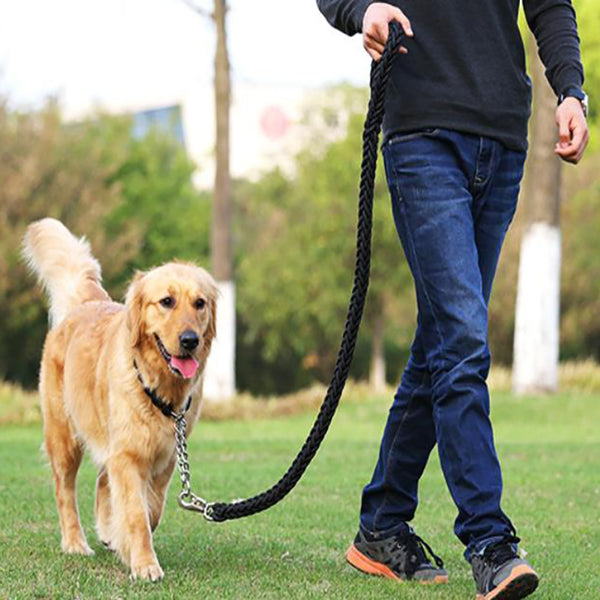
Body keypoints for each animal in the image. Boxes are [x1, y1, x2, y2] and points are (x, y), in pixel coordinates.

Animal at [25, 219, 220, 580]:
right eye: (166, 301)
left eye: (199, 303)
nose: (190, 340)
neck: (158, 388)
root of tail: (86, 303)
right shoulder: (128, 454)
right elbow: (136, 514)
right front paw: (144, 563)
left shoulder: (165, 457)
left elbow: (151, 510)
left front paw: (120, 540)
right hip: (64, 437)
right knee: (64, 490)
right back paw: (75, 542)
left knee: (103, 479)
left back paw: (105, 530)